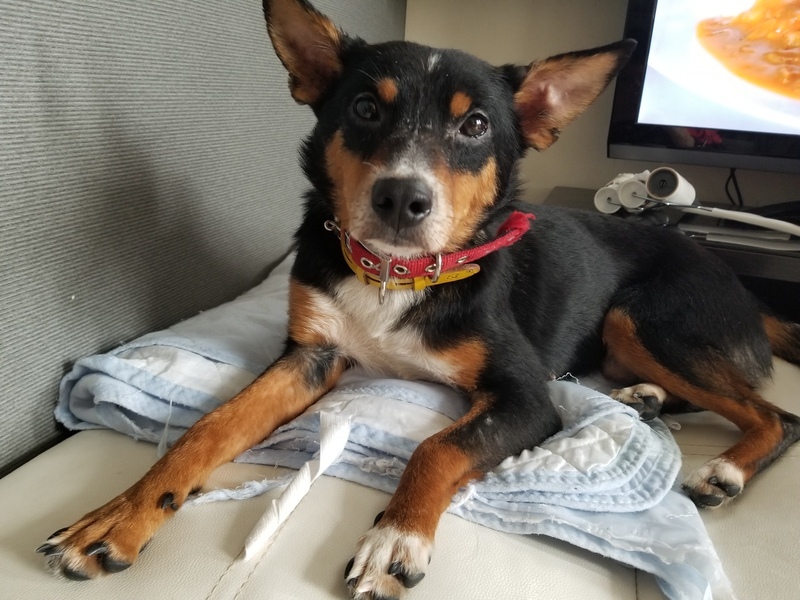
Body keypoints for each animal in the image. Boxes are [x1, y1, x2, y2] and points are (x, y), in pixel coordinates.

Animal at [39, 0, 800, 598]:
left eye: (476, 127)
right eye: (364, 107)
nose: (402, 198)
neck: (396, 274)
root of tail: (741, 285)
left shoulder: (527, 397)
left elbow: (435, 448)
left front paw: (395, 539)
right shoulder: (310, 356)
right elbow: (206, 430)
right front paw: (119, 517)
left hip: (641, 316)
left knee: (777, 414)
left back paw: (725, 467)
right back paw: (645, 398)